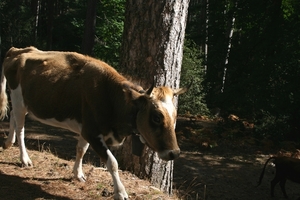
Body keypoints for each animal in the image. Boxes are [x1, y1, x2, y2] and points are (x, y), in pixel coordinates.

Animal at [0, 46, 189, 198]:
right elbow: (112, 163)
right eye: (156, 117)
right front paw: (120, 192)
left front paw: (78, 174)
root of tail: (18, 50)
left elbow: (81, 149)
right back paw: (24, 158)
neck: (112, 97)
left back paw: (8, 143)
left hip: (22, 102)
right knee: (20, 128)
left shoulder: (85, 128)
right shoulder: (92, 132)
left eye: (175, 116)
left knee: (13, 118)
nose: (174, 153)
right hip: (18, 98)